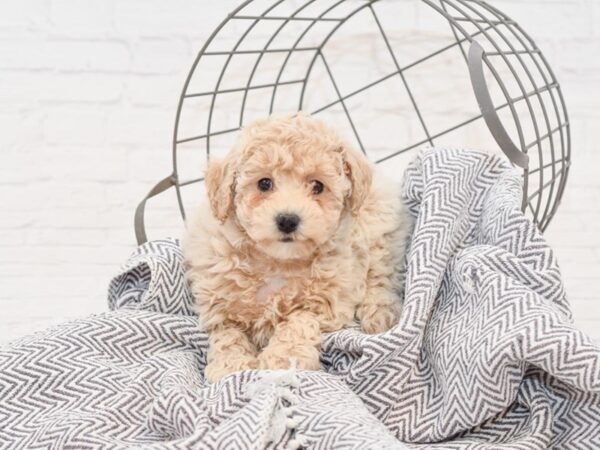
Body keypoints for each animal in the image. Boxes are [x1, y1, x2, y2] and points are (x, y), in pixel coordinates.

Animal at [182, 111, 412, 380]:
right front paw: (231, 367)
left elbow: (297, 322)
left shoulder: (327, 301)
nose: (288, 220)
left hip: (380, 234)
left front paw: (282, 360)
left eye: (318, 186)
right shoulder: (218, 304)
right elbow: (227, 336)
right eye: (264, 183)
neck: (278, 262)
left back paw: (380, 313)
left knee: (381, 277)